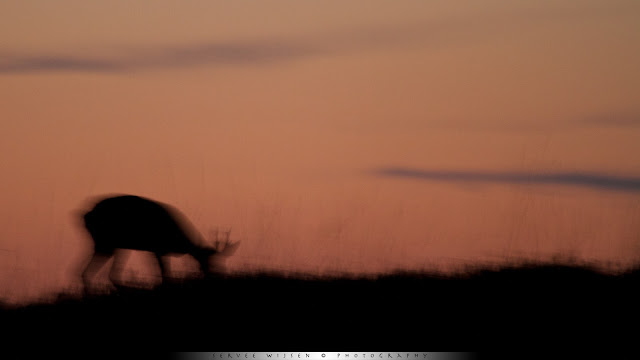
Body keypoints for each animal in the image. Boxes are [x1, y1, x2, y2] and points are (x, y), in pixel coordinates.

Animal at [79, 195, 239, 292]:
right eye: (207, 260)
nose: (214, 276)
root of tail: (85, 215)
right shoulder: (157, 248)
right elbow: (163, 272)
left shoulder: (153, 250)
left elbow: (161, 272)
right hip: (108, 243)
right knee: (106, 273)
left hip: (107, 246)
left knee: (83, 270)